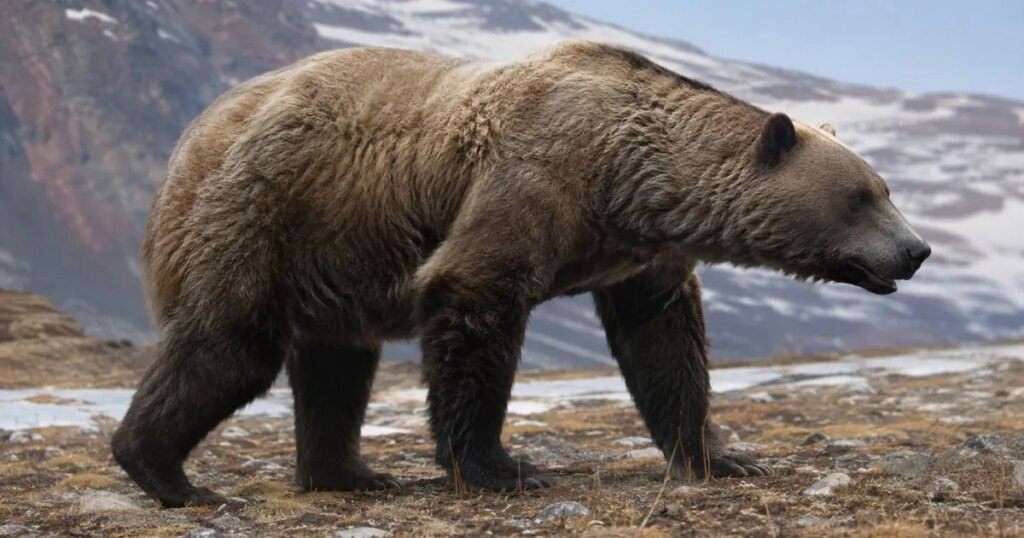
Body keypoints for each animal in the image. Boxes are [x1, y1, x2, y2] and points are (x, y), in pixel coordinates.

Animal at [111, 41, 931, 507]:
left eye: (884, 188)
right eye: (863, 195)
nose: (916, 251)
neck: (628, 182)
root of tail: (191, 138)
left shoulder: (637, 257)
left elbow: (666, 346)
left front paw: (723, 456)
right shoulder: (534, 176)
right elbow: (473, 297)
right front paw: (501, 466)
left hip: (336, 251)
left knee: (338, 365)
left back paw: (351, 473)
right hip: (269, 208)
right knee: (231, 345)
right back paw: (168, 475)